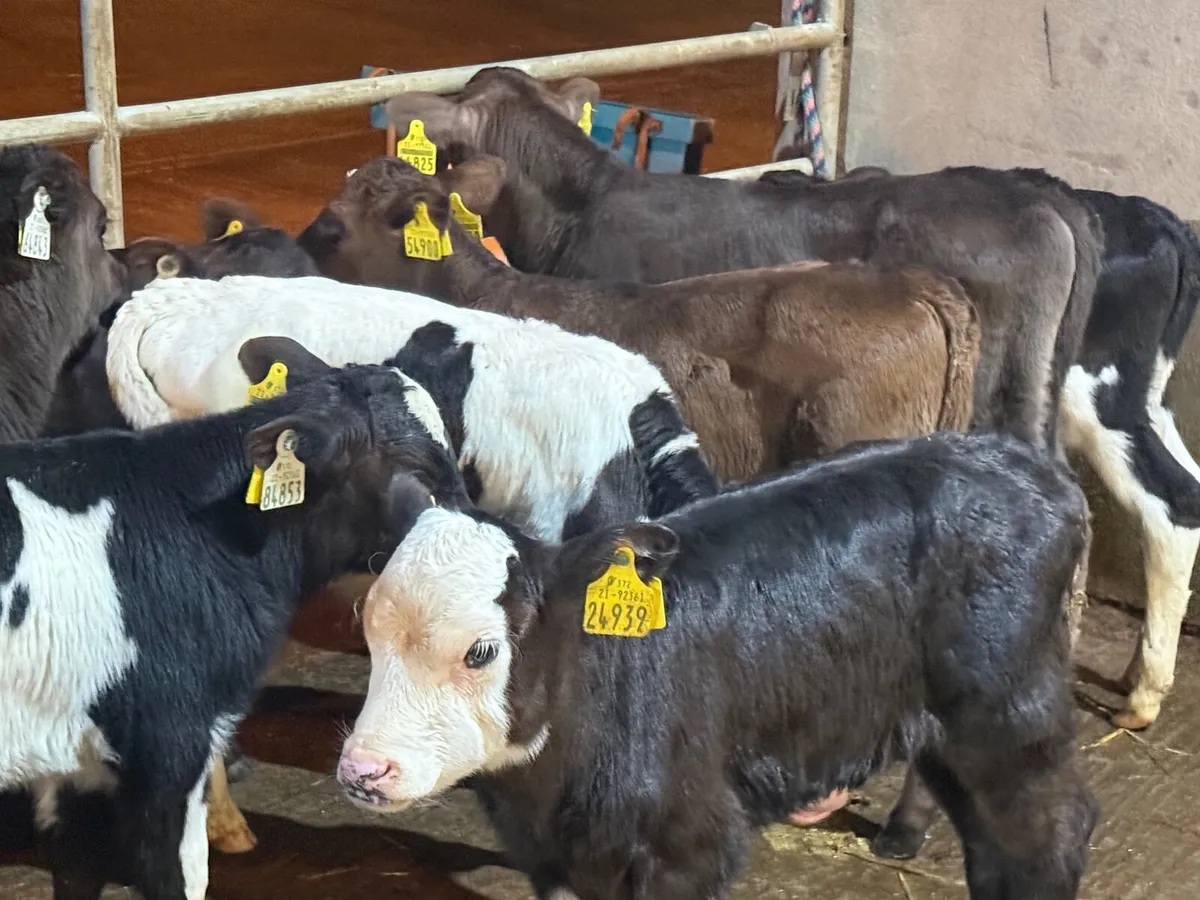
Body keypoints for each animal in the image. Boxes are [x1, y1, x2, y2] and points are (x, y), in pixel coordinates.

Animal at [338, 429, 1097, 900]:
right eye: (370, 629)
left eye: (481, 651)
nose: (363, 771)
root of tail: (1027, 464)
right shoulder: (553, 855)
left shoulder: (689, 844)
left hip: (1009, 711)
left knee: (1053, 830)